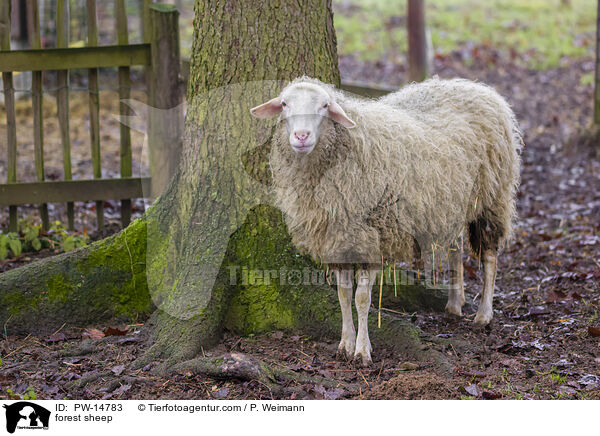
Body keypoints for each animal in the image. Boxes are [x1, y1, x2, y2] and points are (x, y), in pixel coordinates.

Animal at [248, 76, 520, 366]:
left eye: (324, 106)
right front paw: (345, 344)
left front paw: (362, 351)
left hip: (493, 196)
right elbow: (343, 294)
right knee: (455, 248)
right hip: (449, 204)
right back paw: (455, 303)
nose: (301, 136)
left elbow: (362, 298)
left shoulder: (374, 236)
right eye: (284, 104)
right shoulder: (338, 238)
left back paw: (483, 314)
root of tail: (474, 86)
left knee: (489, 256)